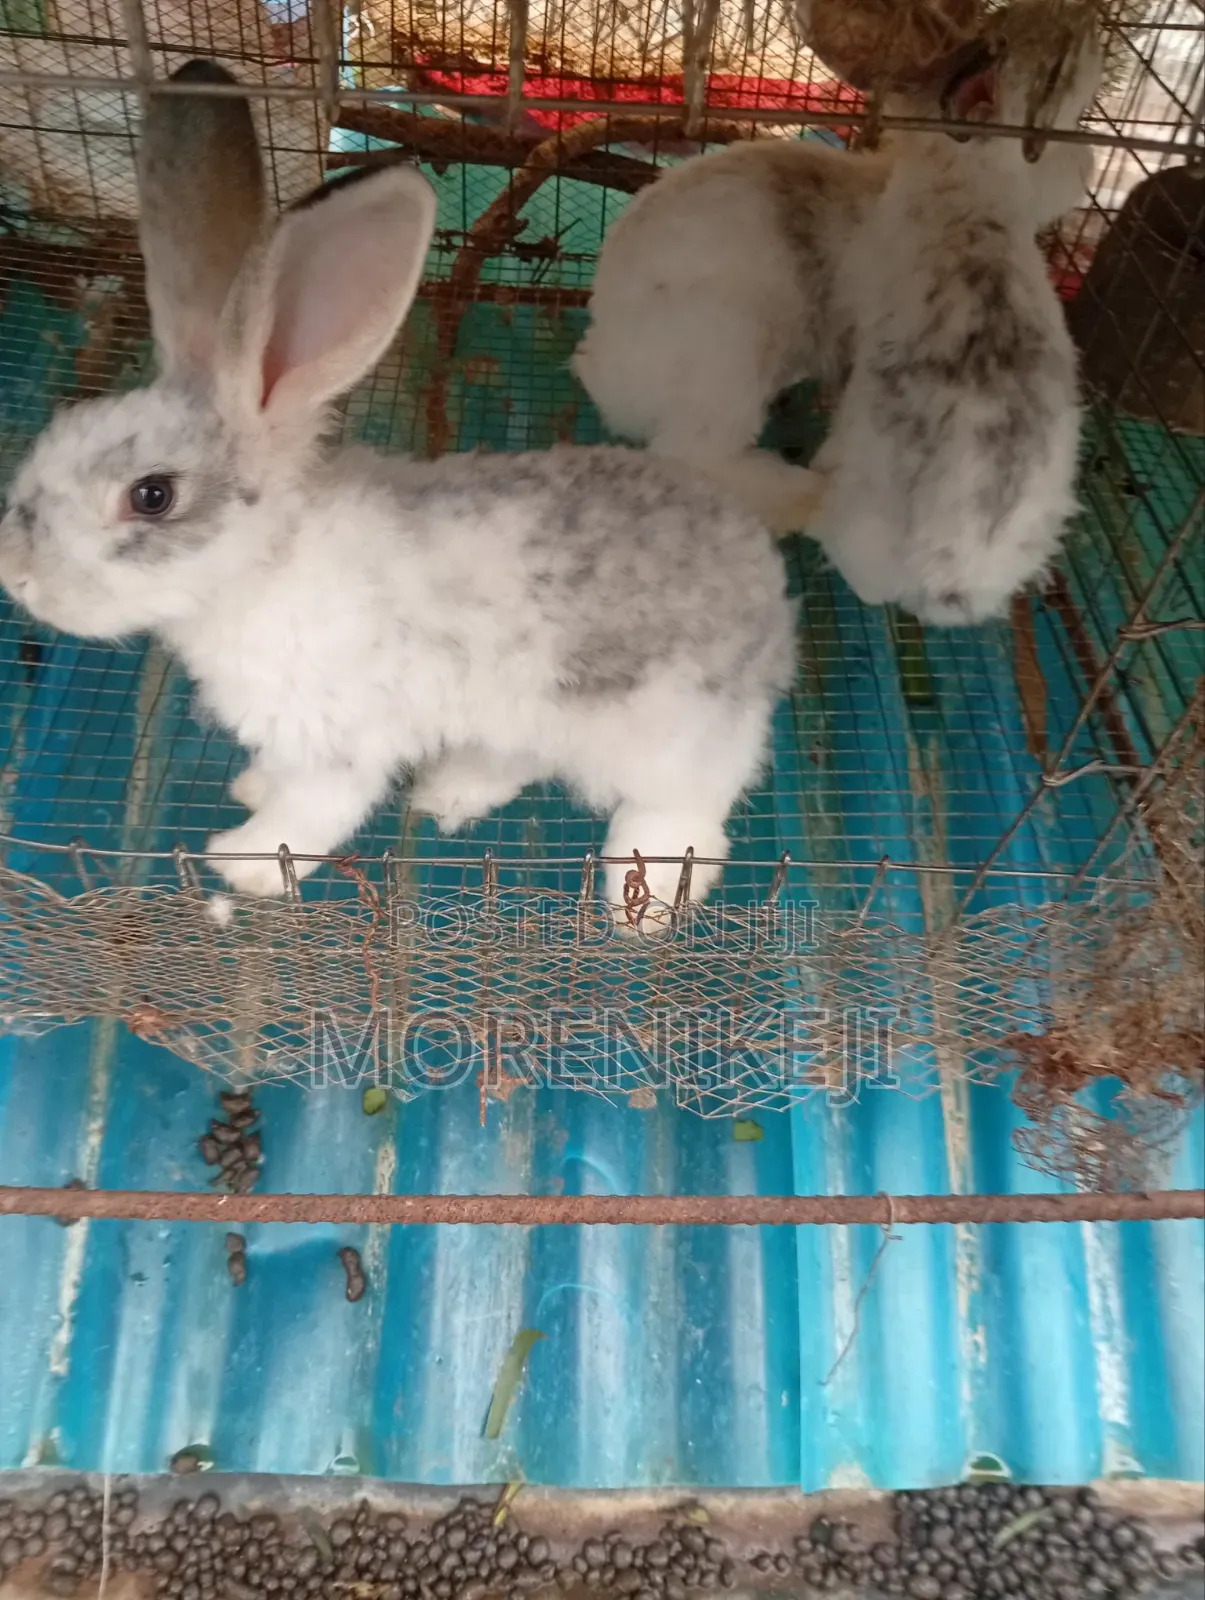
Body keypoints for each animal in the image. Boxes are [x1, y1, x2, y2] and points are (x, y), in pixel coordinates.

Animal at [0, 64, 796, 929]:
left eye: (151, 495)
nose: (16, 574)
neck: (262, 570)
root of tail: (760, 567)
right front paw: (249, 788)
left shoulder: (337, 743)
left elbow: (306, 819)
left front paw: (240, 864)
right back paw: (452, 792)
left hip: (671, 735)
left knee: (688, 813)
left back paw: (638, 906)